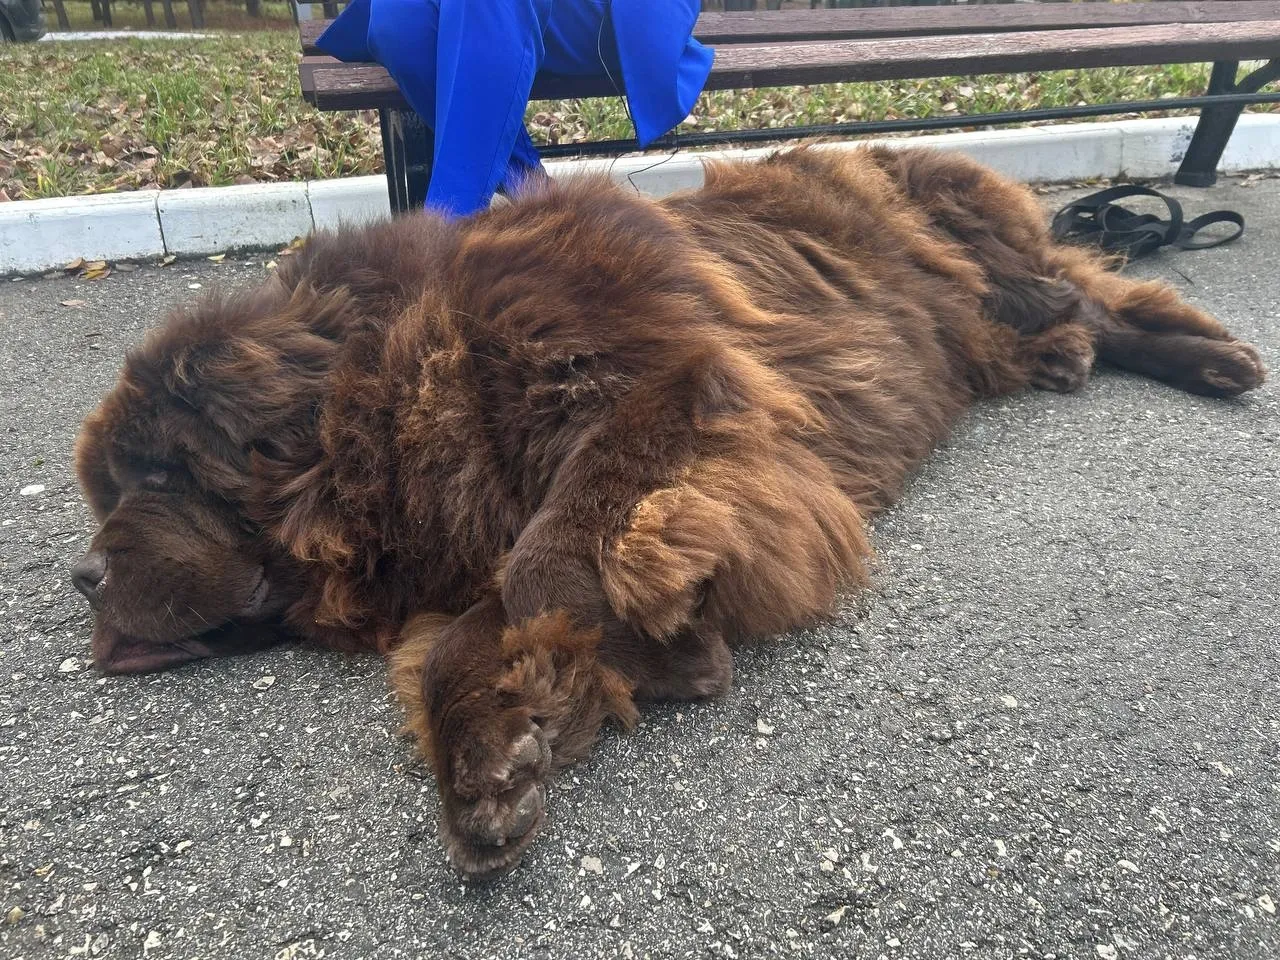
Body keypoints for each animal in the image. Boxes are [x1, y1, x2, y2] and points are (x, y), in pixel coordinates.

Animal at [70, 146, 1266, 878]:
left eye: (150, 478)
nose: (82, 579)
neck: (402, 379)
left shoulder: (666, 379)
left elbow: (545, 563)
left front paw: (665, 652)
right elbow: (483, 622)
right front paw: (495, 765)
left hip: (980, 262)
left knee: (1088, 291)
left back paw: (1212, 359)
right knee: (1078, 314)